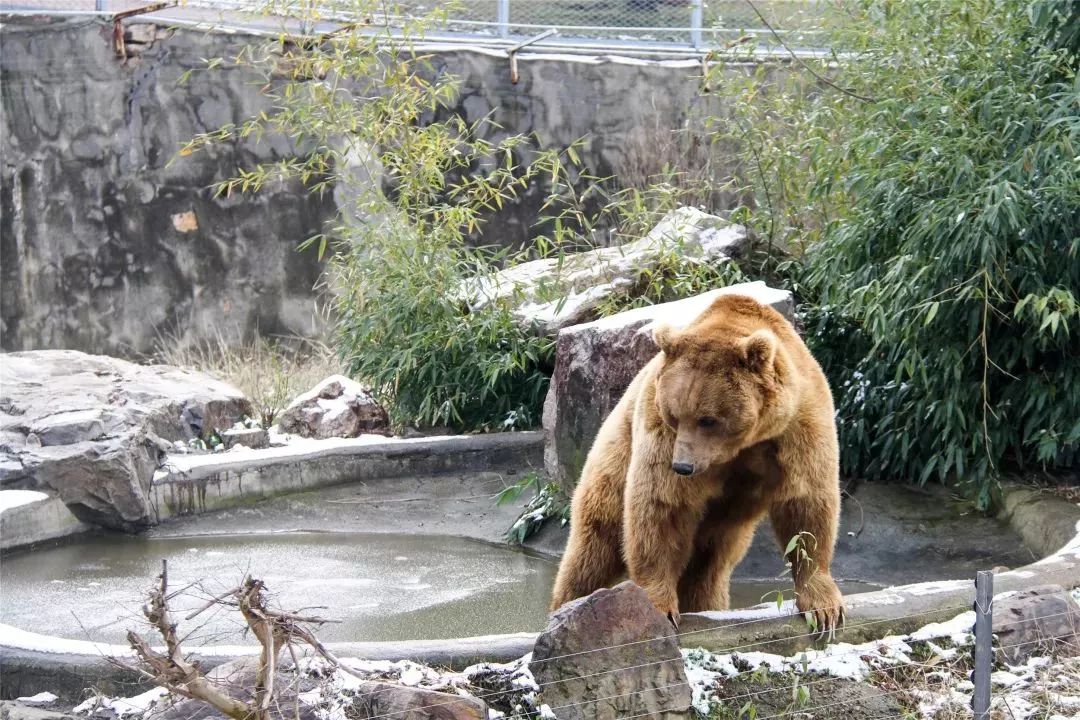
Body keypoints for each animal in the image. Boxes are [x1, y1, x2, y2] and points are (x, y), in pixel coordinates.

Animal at [552, 293, 846, 630]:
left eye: (708, 419)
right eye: (674, 415)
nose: (682, 467)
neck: (743, 444)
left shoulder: (797, 428)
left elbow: (806, 506)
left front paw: (824, 608)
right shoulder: (660, 430)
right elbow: (661, 506)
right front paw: (658, 607)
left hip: (722, 534)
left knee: (708, 568)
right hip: (615, 455)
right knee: (595, 548)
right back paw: (570, 606)